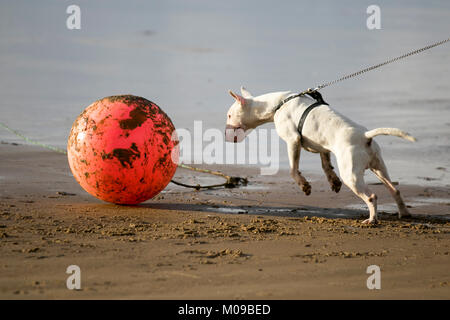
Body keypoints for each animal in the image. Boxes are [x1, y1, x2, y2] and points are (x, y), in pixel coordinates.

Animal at [227, 86, 416, 224]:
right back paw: (404, 213)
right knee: (394, 190)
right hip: (379, 167)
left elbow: (293, 170)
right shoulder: (323, 145)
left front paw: (304, 186)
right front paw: (333, 182)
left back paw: (371, 219)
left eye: (229, 115)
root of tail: (365, 136)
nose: (225, 136)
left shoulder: (293, 140)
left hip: (351, 175)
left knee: (371, 196)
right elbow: (325, 164)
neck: (278, 103)